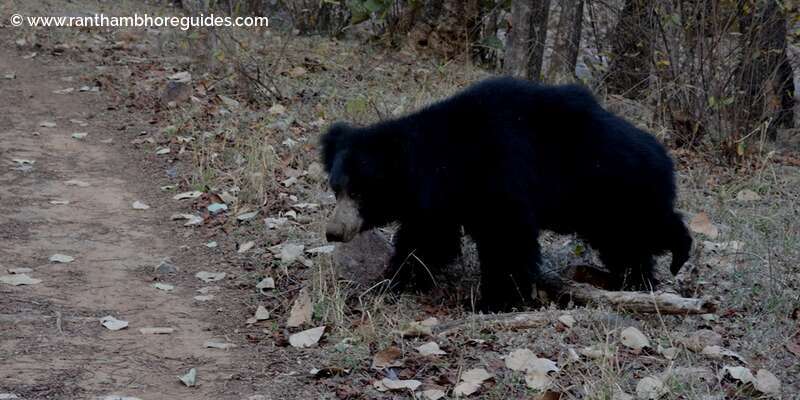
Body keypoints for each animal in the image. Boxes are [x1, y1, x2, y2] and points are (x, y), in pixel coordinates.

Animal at [321, 77, 692, 311]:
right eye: (336, 189)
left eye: (359, 191)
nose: (334, 232)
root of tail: (664, 156)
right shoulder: (442, 201)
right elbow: (426, 241)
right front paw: (392, 281)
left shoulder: (500, 175)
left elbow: (505, 238)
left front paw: (494, 301)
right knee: (627, 244)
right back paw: (637, 278)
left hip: (615, 190)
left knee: (646, 229)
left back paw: (674, 258)